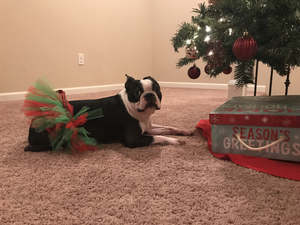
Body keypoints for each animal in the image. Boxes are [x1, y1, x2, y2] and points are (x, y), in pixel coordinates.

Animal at [24, 74, 193, 152]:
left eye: (157, 89)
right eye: (137, 92)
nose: (149, 95)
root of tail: (33, 122)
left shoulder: (148, 127)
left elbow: (168, 128)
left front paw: (184, 132)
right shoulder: (133, 139)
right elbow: (158, 137)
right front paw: (175, 141)